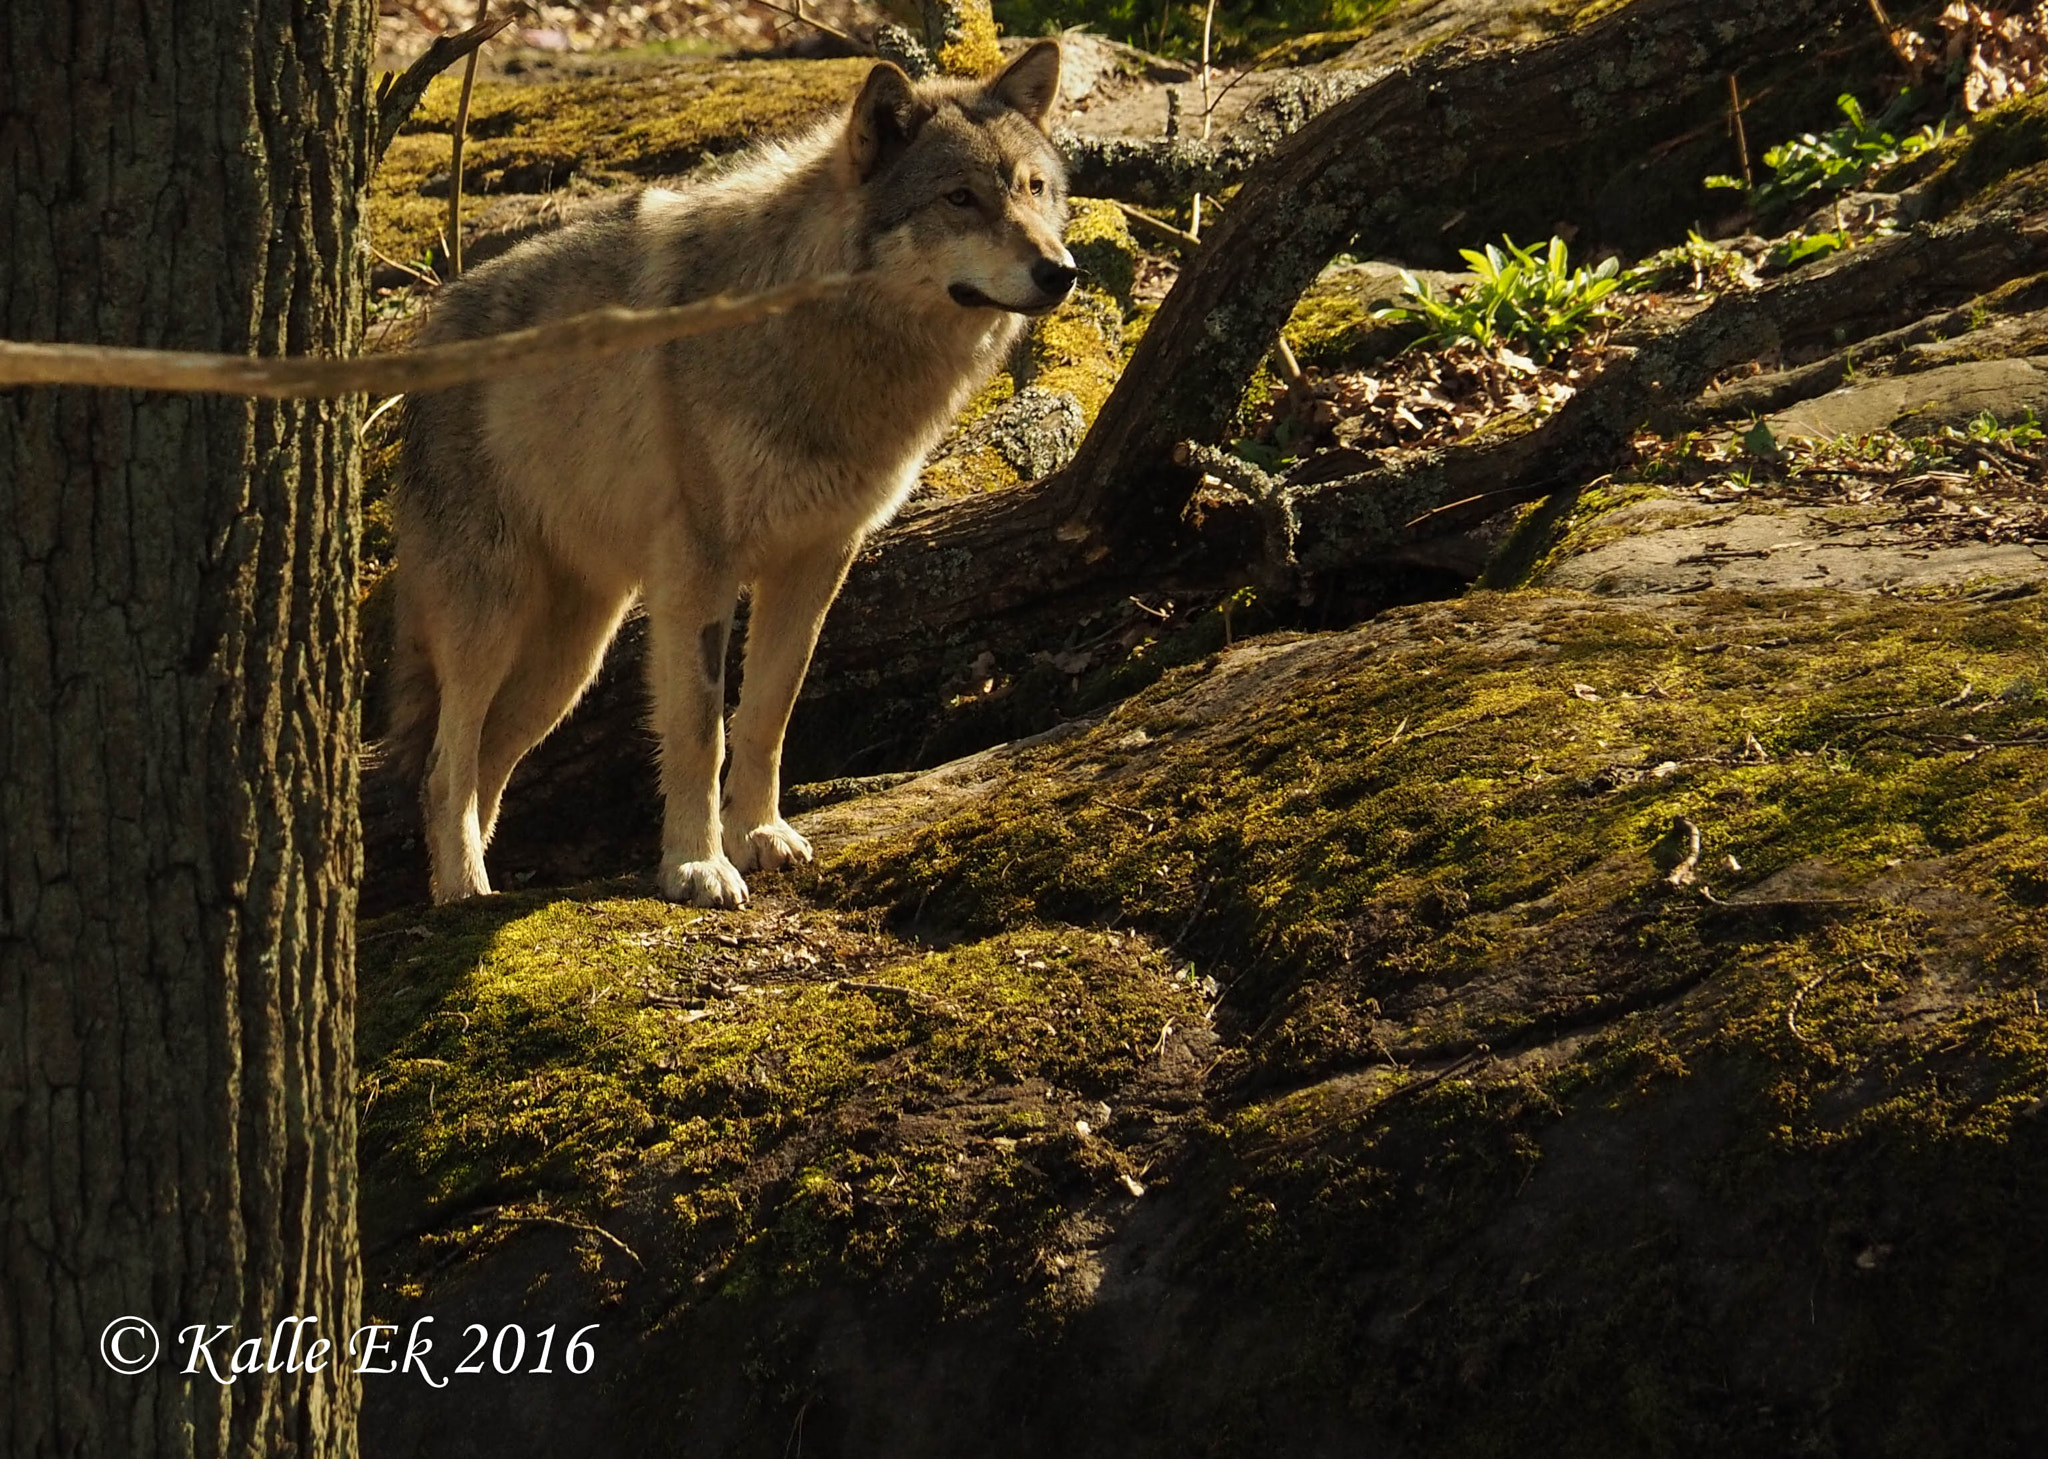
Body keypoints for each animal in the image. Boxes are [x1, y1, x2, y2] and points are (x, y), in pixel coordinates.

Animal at [387, 40, 1074, 908]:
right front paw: (697, 865)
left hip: (569, 659)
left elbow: (767, 714)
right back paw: (463, 894)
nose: (1063, 271)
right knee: (444, 770)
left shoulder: (815, 563)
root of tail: (427, 329)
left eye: (1035, 189)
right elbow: (699, 731)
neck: (824, 337)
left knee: (484, 762)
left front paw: (760, 835)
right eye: (960, 198)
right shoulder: (701, 571)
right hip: (494, 622)